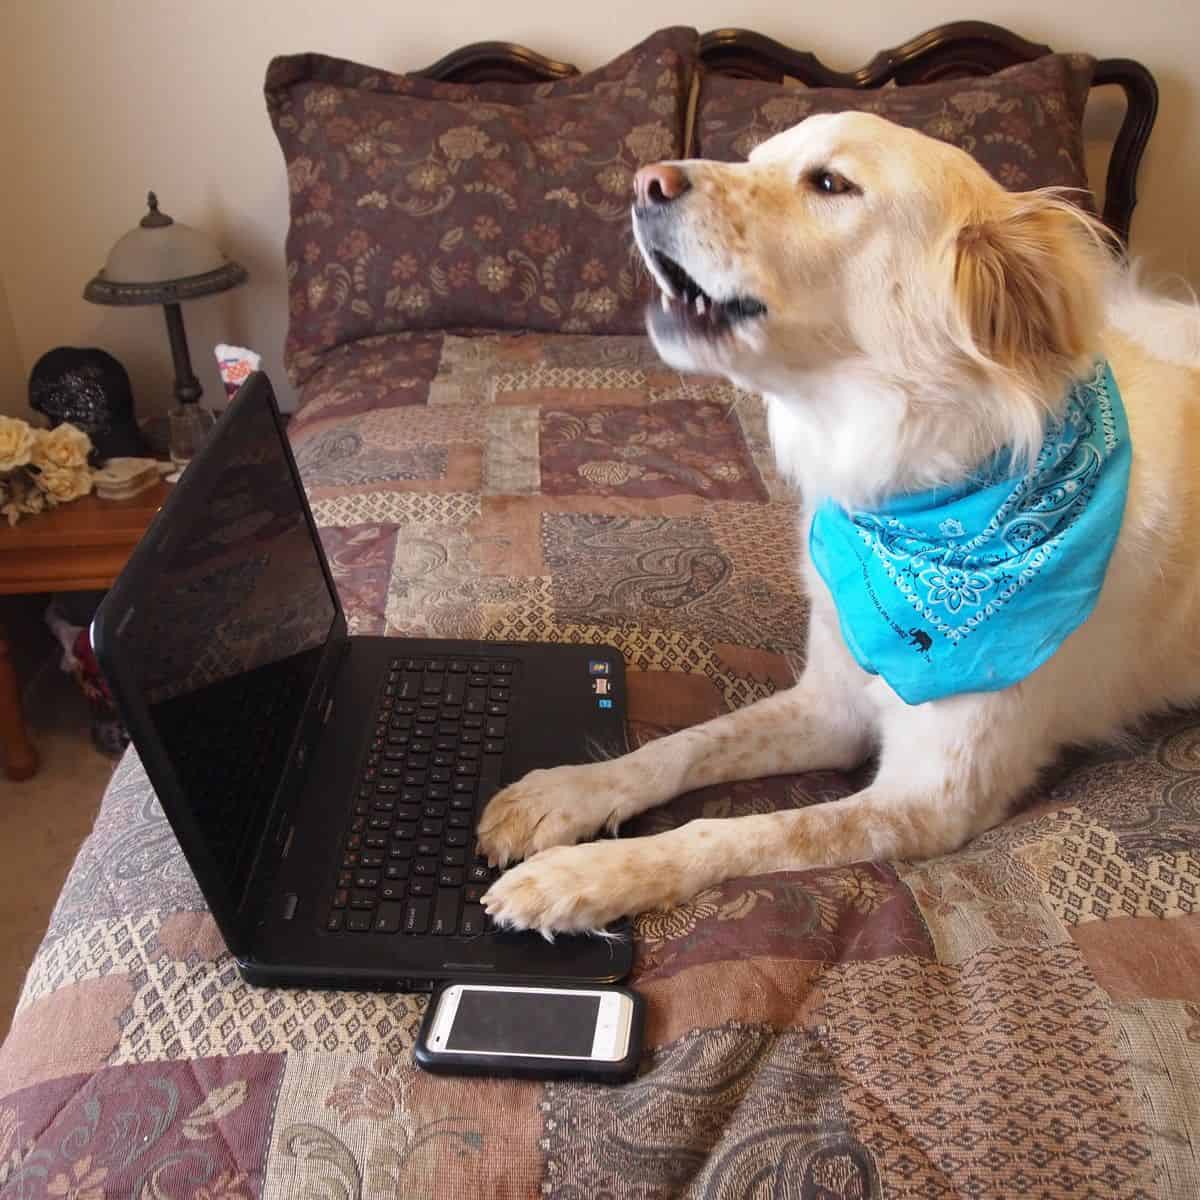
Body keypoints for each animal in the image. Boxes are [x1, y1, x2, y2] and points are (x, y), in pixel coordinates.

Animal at [477, 110, 1200, 936]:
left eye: (830, 182)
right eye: (757, 157)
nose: (643, 180)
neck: (923, 494)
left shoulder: (926, 799)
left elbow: (735, 829)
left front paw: (588, 873)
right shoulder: (831, 703)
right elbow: (683, 745)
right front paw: (567, 793)